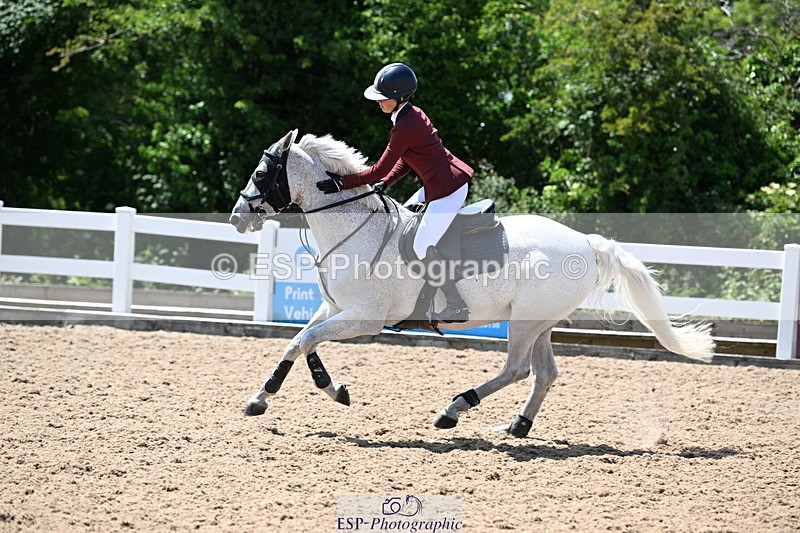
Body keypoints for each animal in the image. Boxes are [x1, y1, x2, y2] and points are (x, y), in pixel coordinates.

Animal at [229, 129, 715, 438]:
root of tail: (589, 242)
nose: (236, 218)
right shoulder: (334, 309)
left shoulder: (364, 318)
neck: (354, 227)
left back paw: (453, 410)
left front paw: (293, 394)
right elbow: (301, 341)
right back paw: (517, 426)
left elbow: (303, 341)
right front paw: (299, 393)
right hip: (540, 322)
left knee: (517, 370)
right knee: (544, 373)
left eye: (261, 174)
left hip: (524, 322)